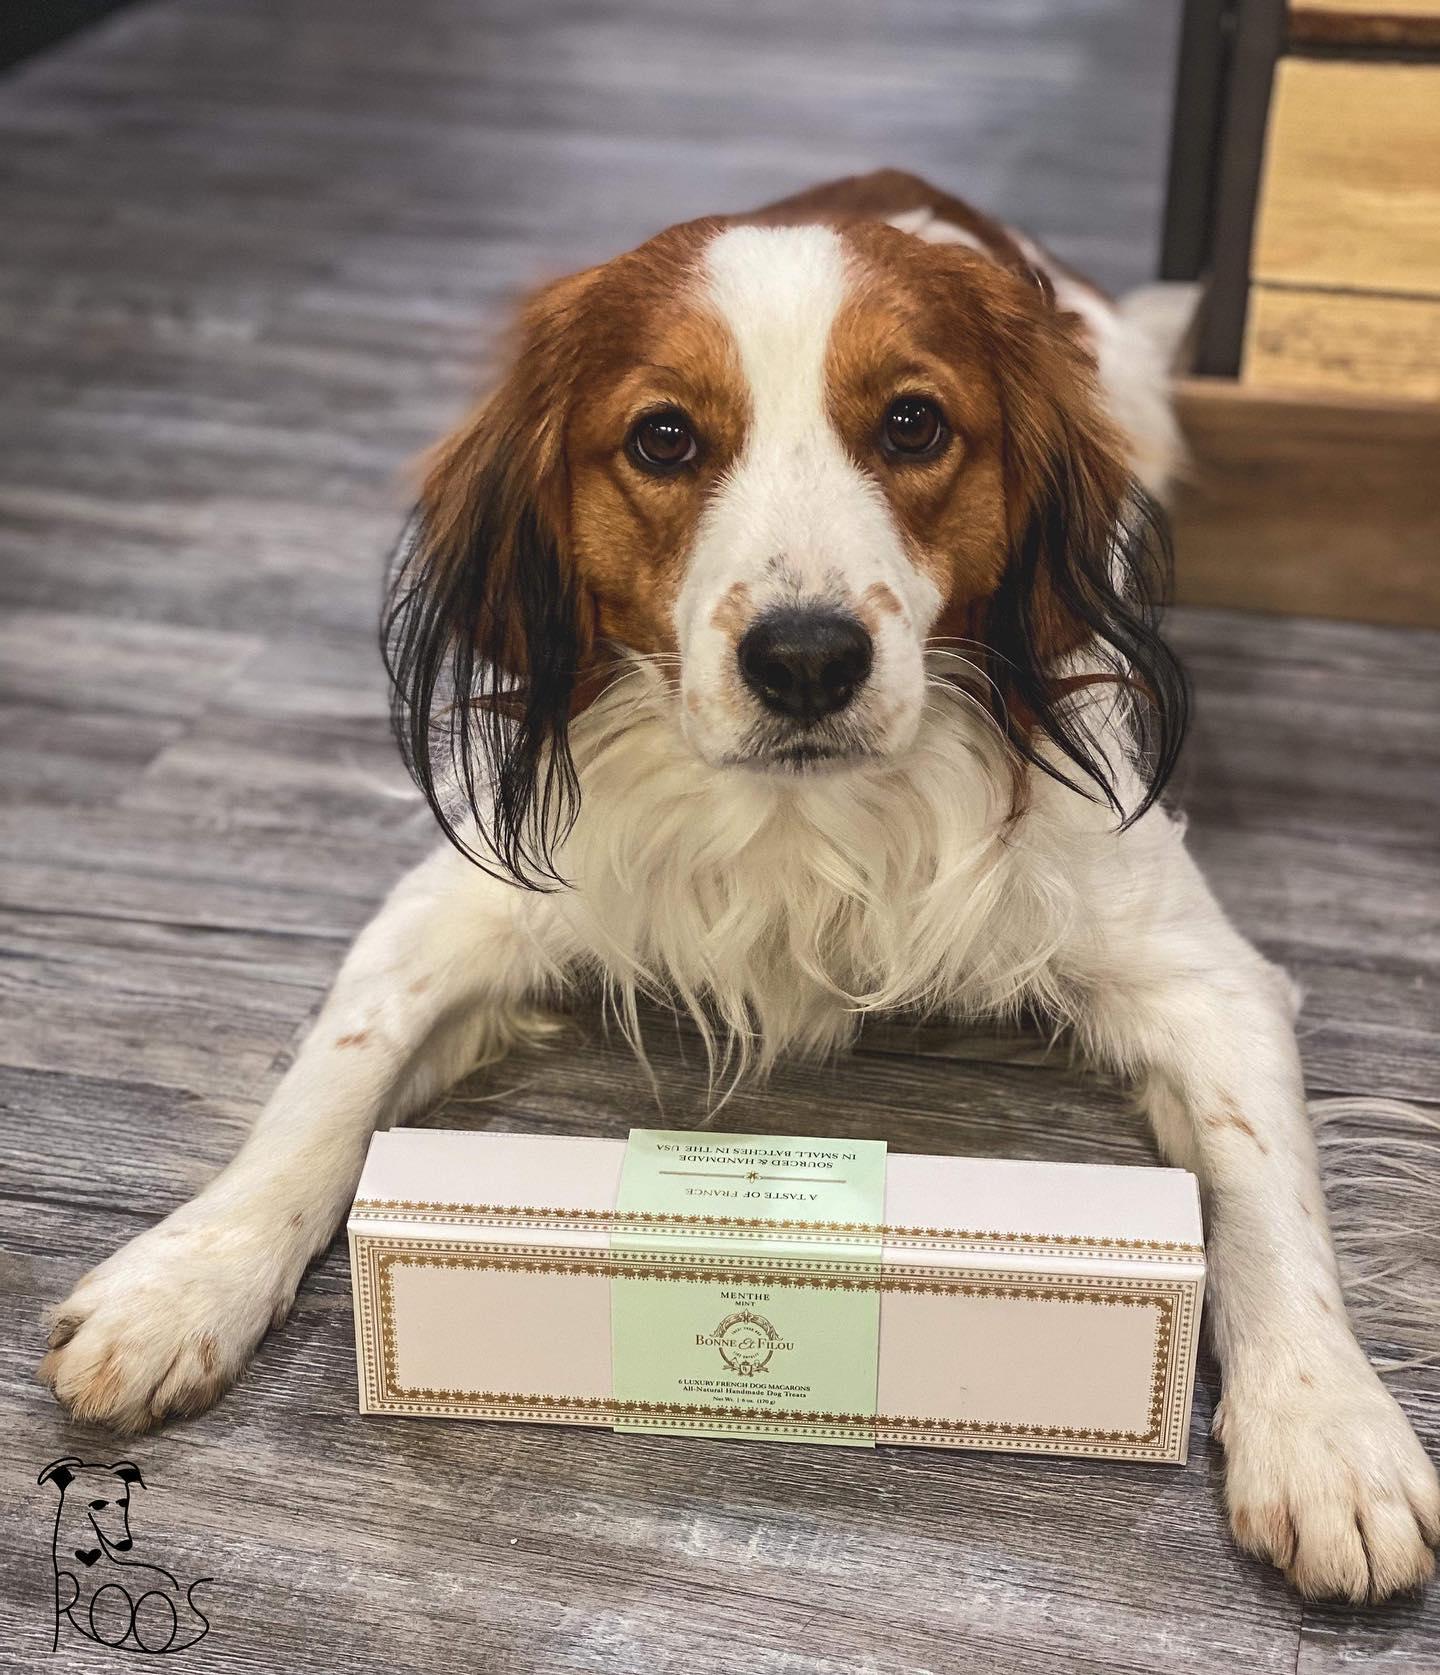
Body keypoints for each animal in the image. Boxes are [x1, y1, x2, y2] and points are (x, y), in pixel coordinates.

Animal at [38, 170, 1439, 1603]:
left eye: (914, 422)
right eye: (663, 439)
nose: (807, 658)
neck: (801, 820)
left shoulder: (1204, 976)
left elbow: (1266, 1188)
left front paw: (1329, 1428)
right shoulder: (456, 904)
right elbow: (324, 1091)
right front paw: (184, 1281)